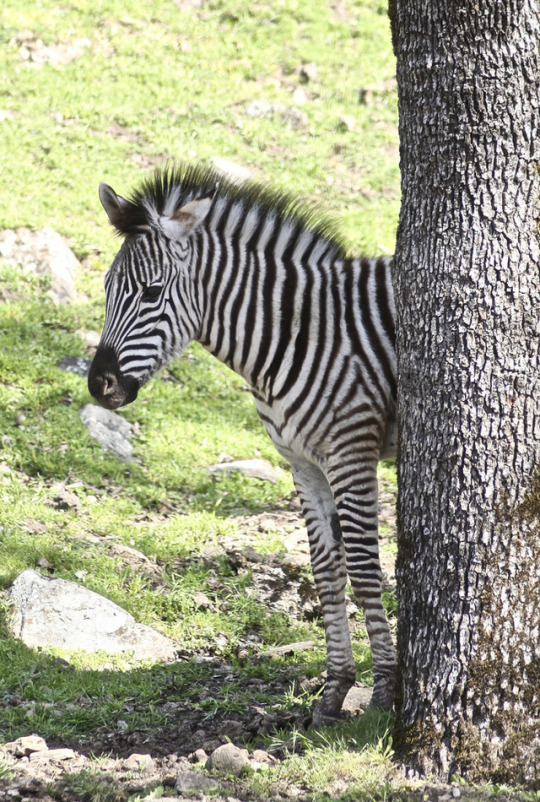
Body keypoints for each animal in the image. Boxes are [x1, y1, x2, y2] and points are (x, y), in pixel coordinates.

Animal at [88, 163, 397, 725]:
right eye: (106, 289)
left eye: (151, 293)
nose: (98, 386)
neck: (298, 332)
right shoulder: (304, 464)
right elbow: (327, 573)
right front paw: (334, 691)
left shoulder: (352, 453)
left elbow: (364, 570)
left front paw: (385, 690)